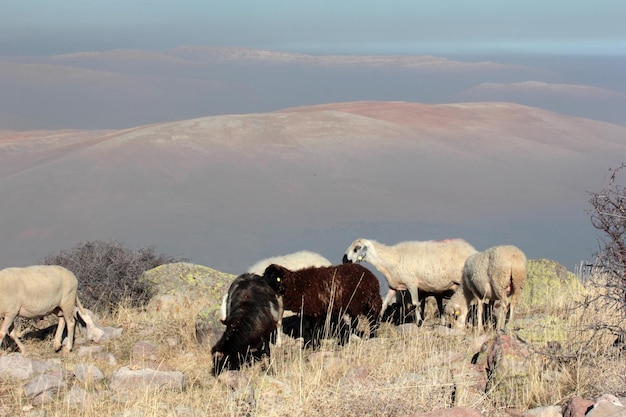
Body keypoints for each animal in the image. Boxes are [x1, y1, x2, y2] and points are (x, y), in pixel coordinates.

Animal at [342, 237, 472, 322]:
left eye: (357, 248)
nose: (344, 260)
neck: (391, 258)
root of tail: (471, 249)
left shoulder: (412, 284)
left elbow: (415, 304)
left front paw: (419, 322)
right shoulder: (393, 287)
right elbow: (384, 304)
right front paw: (378, 320)